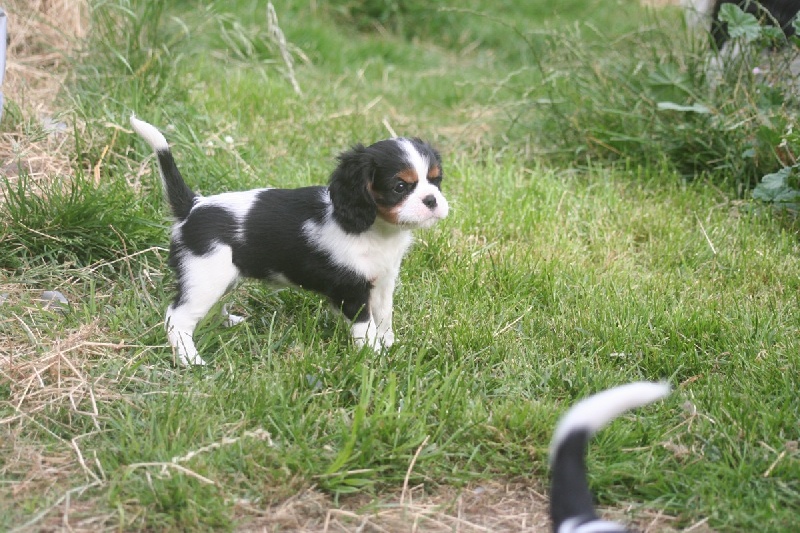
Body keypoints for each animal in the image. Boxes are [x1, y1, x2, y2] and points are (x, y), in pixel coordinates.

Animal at [128, 115, 446, 366]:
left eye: (436, 180)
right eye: (400, 186)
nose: (432, 200)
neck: (377, 230)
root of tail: (193, 206)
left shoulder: (382, 281)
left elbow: (384, 316)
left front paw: (389, 345)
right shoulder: (352, 289)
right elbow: (365, 326)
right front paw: (373, 357)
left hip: (221, 277)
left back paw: (228, 323)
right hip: (204, 276)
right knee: (177, 317)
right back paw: (190, 360)